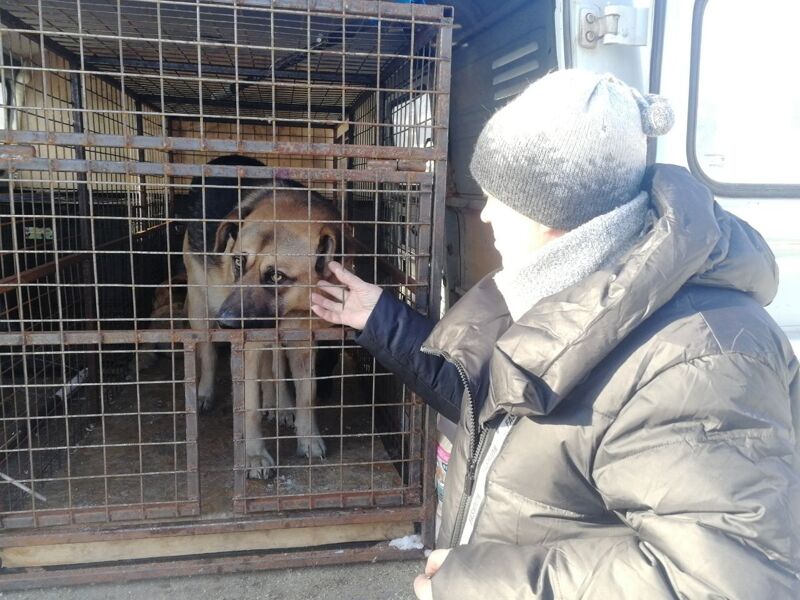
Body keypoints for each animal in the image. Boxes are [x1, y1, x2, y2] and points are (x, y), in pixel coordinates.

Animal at [184, 155, 344, 478]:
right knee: (207, 350)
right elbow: (250, 407)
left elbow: (306, 394)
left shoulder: (302, 341)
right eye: (237, 261)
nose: (226, 323)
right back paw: (205, 392)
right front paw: (254, 456)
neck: (294, 309)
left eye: (276, 276)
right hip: (199, 302)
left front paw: (308, 439)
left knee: (274, 364)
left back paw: (280, 404)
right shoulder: (249, 343)